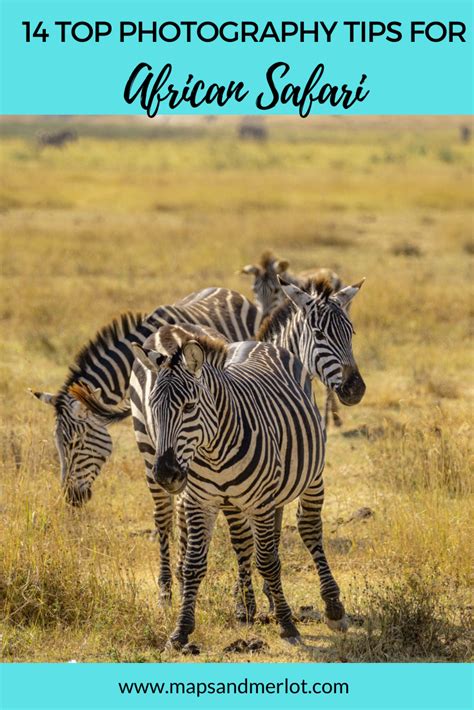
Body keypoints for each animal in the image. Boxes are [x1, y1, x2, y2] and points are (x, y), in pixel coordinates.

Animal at [126, 326, 352, 652]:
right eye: (153, 409)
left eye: (189, 407)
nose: (165, 474)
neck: (213, 450)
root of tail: (258, 343)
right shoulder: (200, 502)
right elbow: (194, 565)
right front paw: (181, 631)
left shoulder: (259, 502)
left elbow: (268, 561)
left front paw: (287, 625)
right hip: (242, 499)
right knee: (248, 540)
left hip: (311, 477)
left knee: (309, 529)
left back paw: (333, 607)